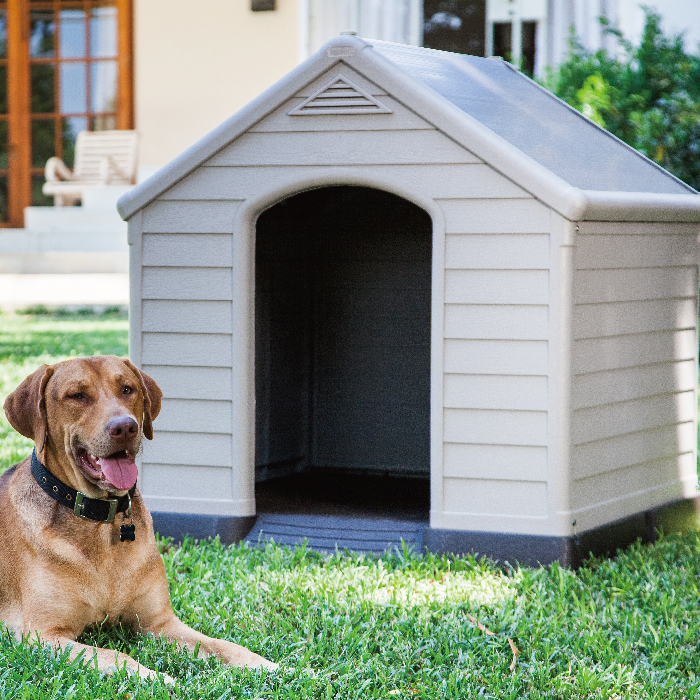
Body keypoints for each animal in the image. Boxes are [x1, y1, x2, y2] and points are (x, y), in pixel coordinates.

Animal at [2, 356, 276, 684]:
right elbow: (114, 655)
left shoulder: (158, 623)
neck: (100, 522)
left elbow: (221, 644)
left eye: (127, 389)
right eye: (77, 395)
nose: (125, 427)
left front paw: (272, 666)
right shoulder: (44, 634)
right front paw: (158, 679)